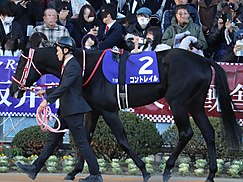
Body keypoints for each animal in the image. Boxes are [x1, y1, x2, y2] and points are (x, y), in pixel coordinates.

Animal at [9, 47, 241, 182]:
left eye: (20, 64)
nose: (12, 90)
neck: (86, 67)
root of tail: (204, 61)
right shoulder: (92, 110)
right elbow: (83, 139)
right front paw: (74, 171)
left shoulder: (108, 110)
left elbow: (122, 140)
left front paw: (144, 170)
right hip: (195, 105)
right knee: (209, 133)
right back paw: (210, 174)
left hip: (179, 104)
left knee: (186, 133)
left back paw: (167, 169)